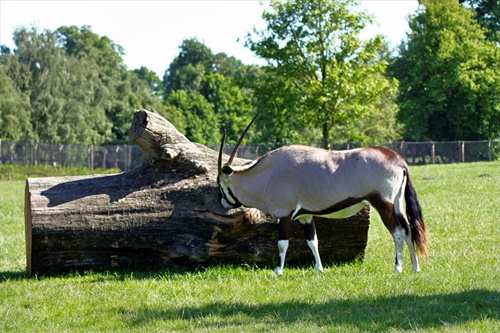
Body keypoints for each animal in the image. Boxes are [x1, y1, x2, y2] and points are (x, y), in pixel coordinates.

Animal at [217, 110, 428, 274]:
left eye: (220, 184)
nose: (222, 202)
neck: (267, 174)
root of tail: (398, 160)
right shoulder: (305, 216)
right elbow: (313, 241)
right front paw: (319, 269)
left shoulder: (284, 214)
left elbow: (282, 243)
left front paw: (278, 271)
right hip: (396, 204)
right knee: (409, 229)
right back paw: (415, 268)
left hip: (383, 204)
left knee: (398, 232)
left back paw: (398, 268)